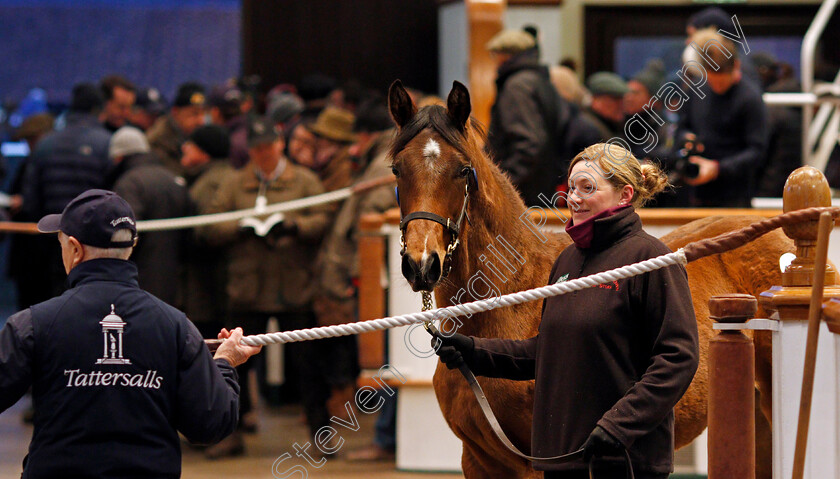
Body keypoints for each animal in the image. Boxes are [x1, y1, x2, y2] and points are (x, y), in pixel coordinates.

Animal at [388, 80, 788, 478]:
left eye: (462, 169)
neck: (510, 300)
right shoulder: (478, 460)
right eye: (396, 169)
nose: (422, 263)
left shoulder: (535, 464)